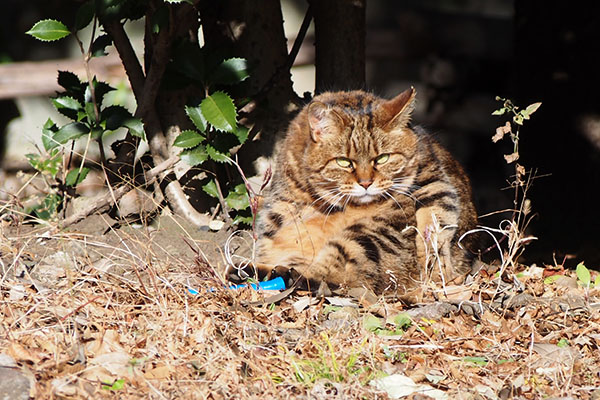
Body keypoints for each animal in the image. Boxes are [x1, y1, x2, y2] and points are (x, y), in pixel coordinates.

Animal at [232, 86, 476, 294]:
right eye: (344, 162)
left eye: (382, 158)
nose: (366, 183)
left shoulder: (432, 181)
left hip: (370, 234)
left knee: (338, 275)